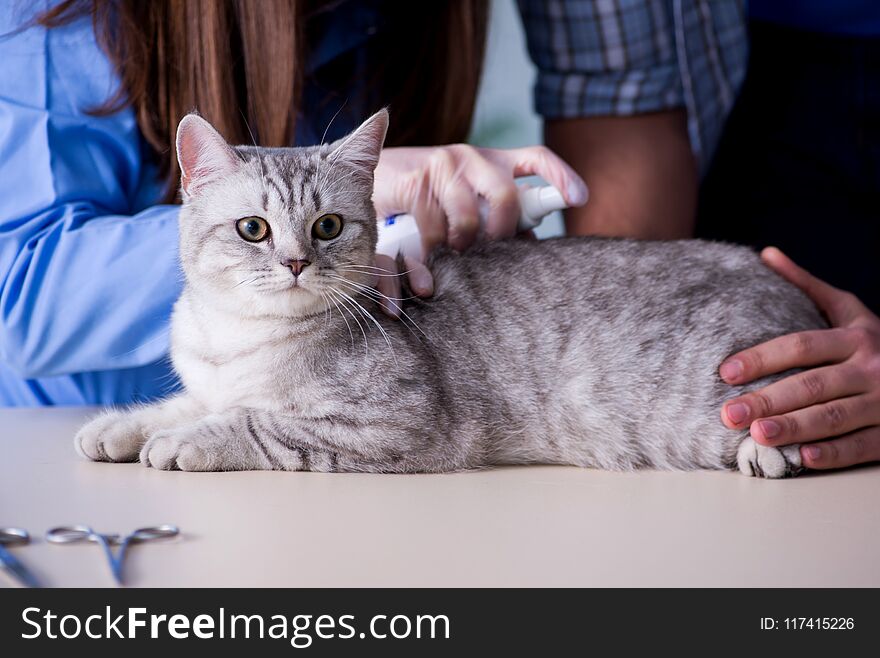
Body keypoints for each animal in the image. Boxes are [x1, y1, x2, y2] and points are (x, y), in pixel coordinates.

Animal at [74, 109, 824, 476]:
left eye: (327, 226)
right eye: (252, 229)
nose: (294, 263)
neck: (237, 341)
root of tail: (788, 288)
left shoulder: (396, 423)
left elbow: (256, 423)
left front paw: (185, 441)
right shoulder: (208, 381)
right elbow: (185, 401)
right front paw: (120, 426)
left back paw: (767, 453)